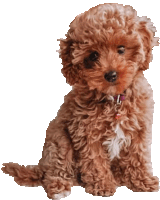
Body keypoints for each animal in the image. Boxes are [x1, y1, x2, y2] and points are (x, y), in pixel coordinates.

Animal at [1, 2, 159, 198]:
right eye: (93, 55)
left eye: (121, 49)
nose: (111, 74)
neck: (114, 99)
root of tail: (41, 166)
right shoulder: (86, 132)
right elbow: (95, 160)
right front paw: (103, 185)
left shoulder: (139, 129)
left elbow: (137, 157)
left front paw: (142, 180)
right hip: (59, 140)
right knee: (55, 171)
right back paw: (59, 188)